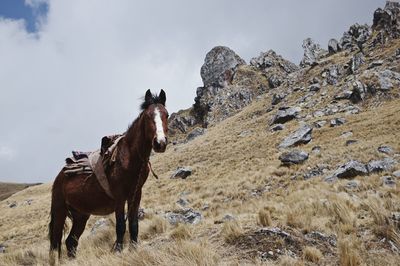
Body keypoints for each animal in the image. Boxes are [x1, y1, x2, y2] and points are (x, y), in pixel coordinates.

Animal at [48, 90, 169, 264]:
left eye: (166, 114)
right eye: (147, 116)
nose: (160, 143)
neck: (129, 157)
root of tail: (60, 176)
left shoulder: (136, 195)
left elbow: (133, 224)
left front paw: (134, 249)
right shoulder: (119, 197)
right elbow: (120, 225)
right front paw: (118, 251)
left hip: (81, 215)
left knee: (71, 241)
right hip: (59, 210)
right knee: (55, 243)